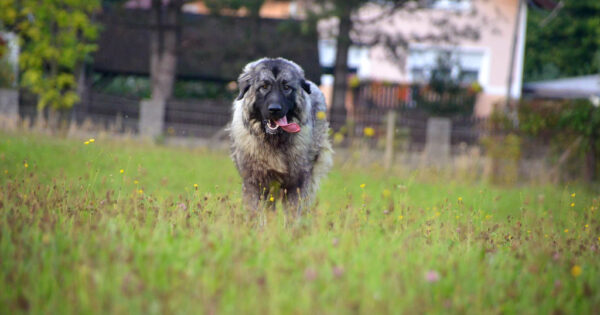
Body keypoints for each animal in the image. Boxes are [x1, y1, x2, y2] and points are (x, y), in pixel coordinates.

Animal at [230, 57, 332, 215]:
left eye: (286, 87)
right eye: (264, 86)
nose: (275, 109)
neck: (273, 141)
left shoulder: (297, 184)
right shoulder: (254, 183)